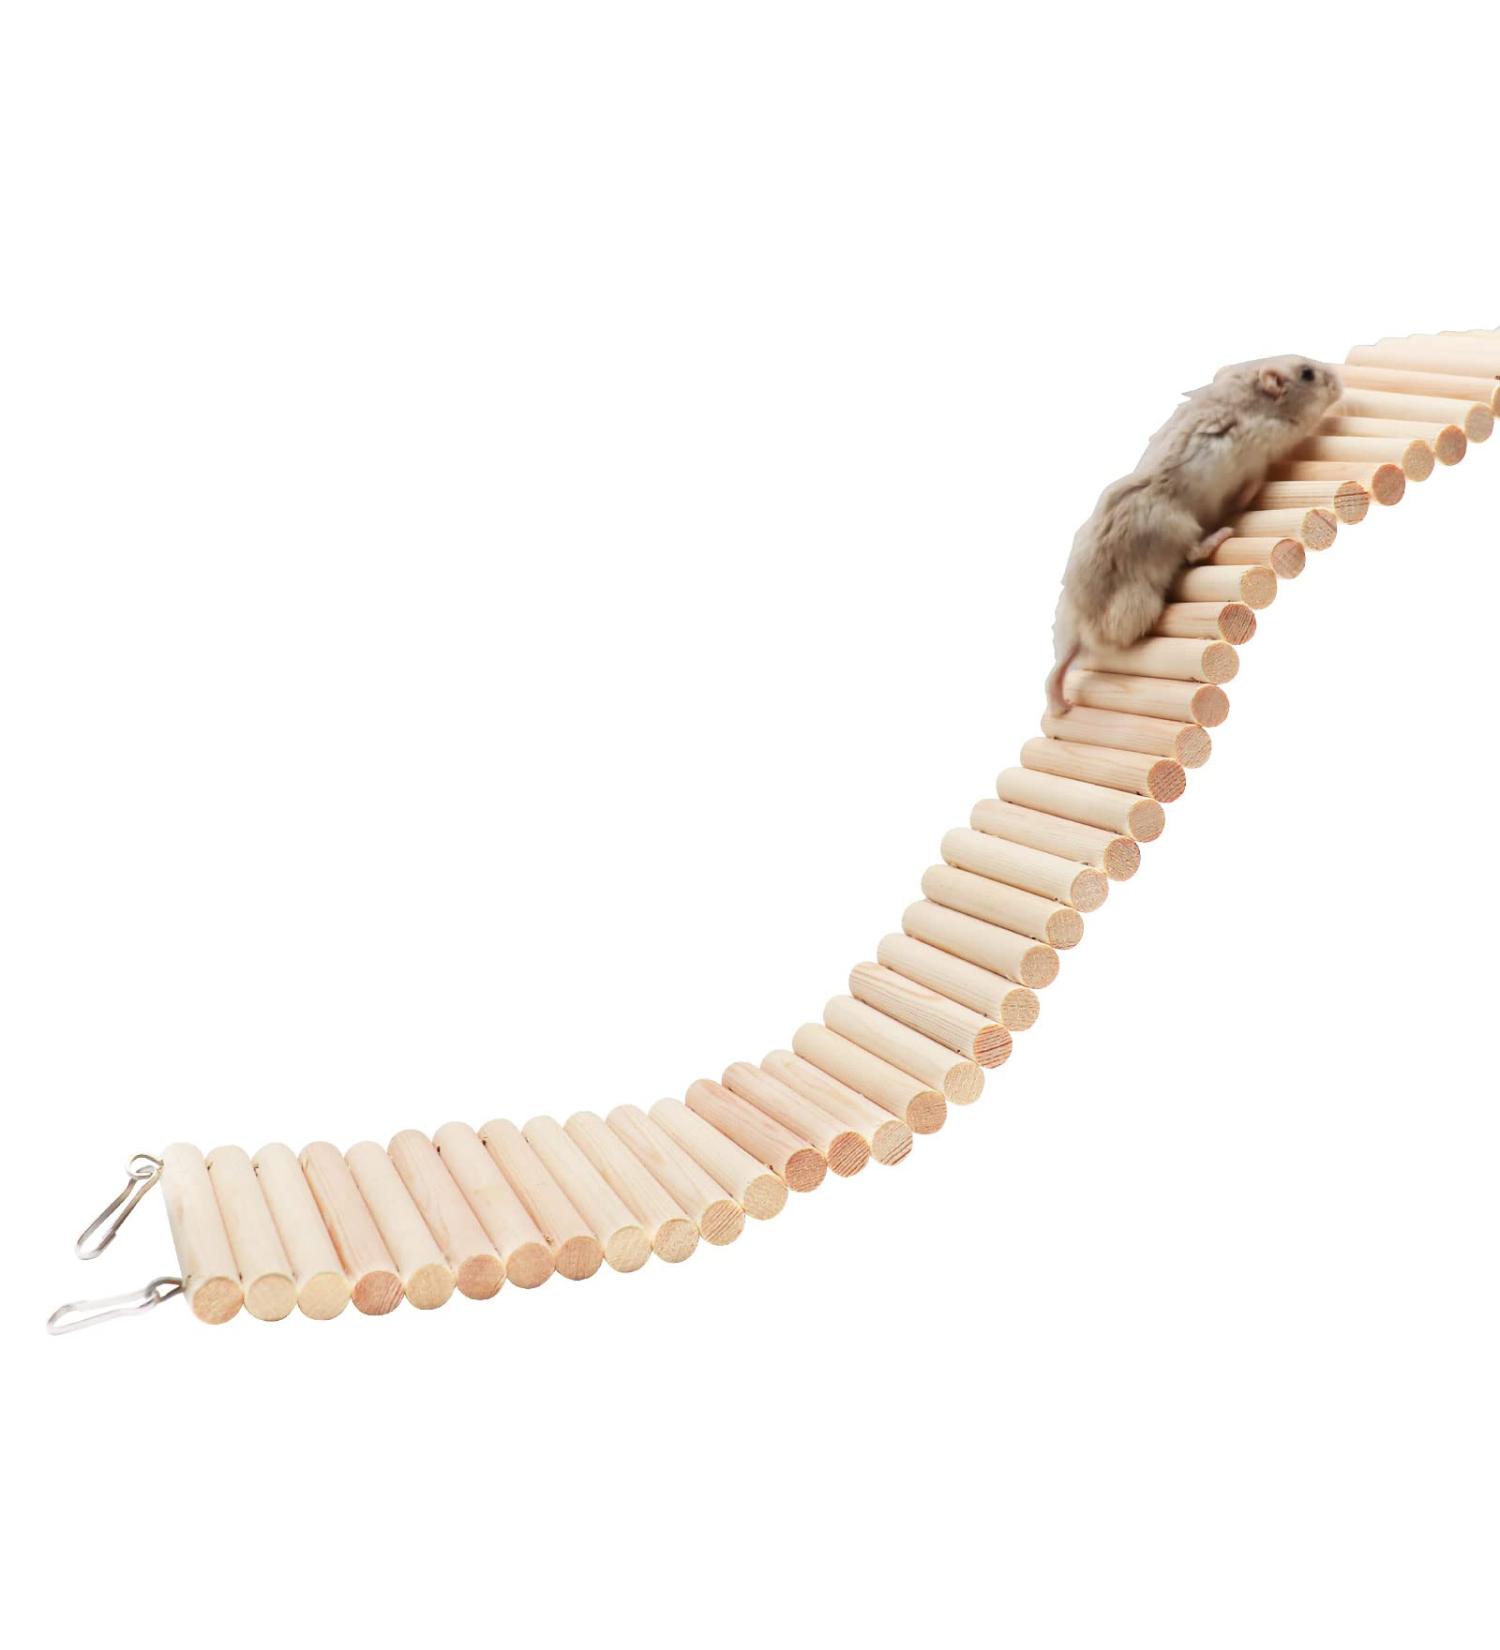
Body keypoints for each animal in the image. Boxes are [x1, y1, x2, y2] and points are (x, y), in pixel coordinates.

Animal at [1044, 355, 1341, 716]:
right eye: (1308, 374)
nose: (1339, 380)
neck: (1245, 398)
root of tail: (1080, 630)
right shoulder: (1258, 457)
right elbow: (1252, 483)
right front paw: (1249, 496)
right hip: (1177, 529)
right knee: (1192, 553)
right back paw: (1222, 533)